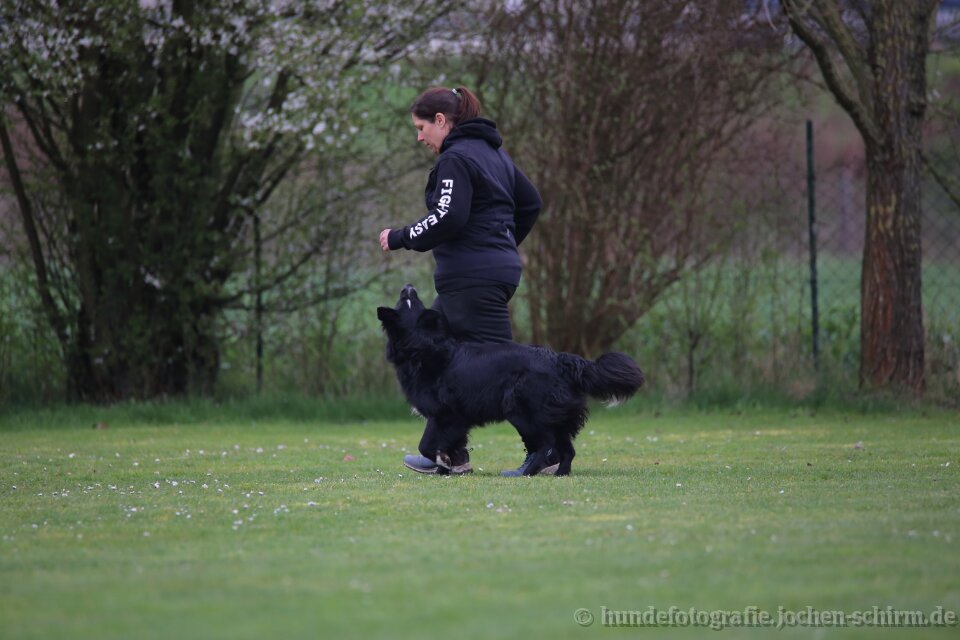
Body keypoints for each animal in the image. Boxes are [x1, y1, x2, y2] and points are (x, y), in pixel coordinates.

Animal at [377, 284, 645, 476]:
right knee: (567, 448)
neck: (420, 345)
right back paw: (560, 473)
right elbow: (453, 443)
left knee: (546, 443)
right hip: (553, 414)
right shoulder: (457, 419)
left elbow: (426, 445)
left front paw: (443, 462)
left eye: (408, 302)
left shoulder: (445, 414)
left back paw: (527, 471)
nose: (408, 287)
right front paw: (449, 467)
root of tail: (560, 359)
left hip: (523, 410)